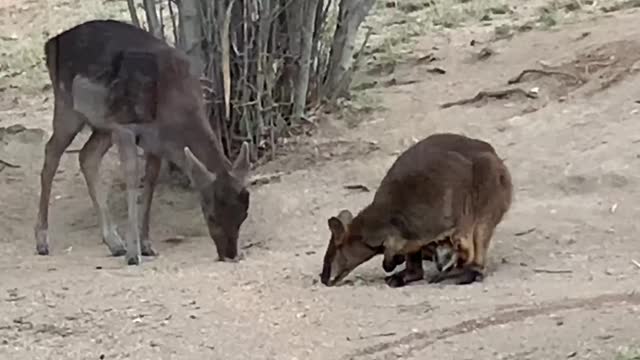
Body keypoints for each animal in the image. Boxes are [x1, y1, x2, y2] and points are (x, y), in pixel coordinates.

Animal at [33, 20, 251, 268]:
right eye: (211, 215)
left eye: (243, 215)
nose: (230, 254)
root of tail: (50, 44)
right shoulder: (126, 127)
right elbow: (131, 176)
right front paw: (133, 253)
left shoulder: (154, 141)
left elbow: (151, 182)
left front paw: (146, 245)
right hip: (68, 107)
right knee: (51, 153)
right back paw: (42, 241)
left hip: (103, 125)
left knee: (87, 156)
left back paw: (114, 242)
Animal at [322, 132, 512, 286]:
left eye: (333, 255)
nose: (323, 279)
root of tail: (493, 153)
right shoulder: (413, 237)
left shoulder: (398, 234)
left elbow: (390, 253)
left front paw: (391, 263)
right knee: (420, 267)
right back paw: (403, 277)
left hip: (483, 194)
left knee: (476, 253)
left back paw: (456, 275)